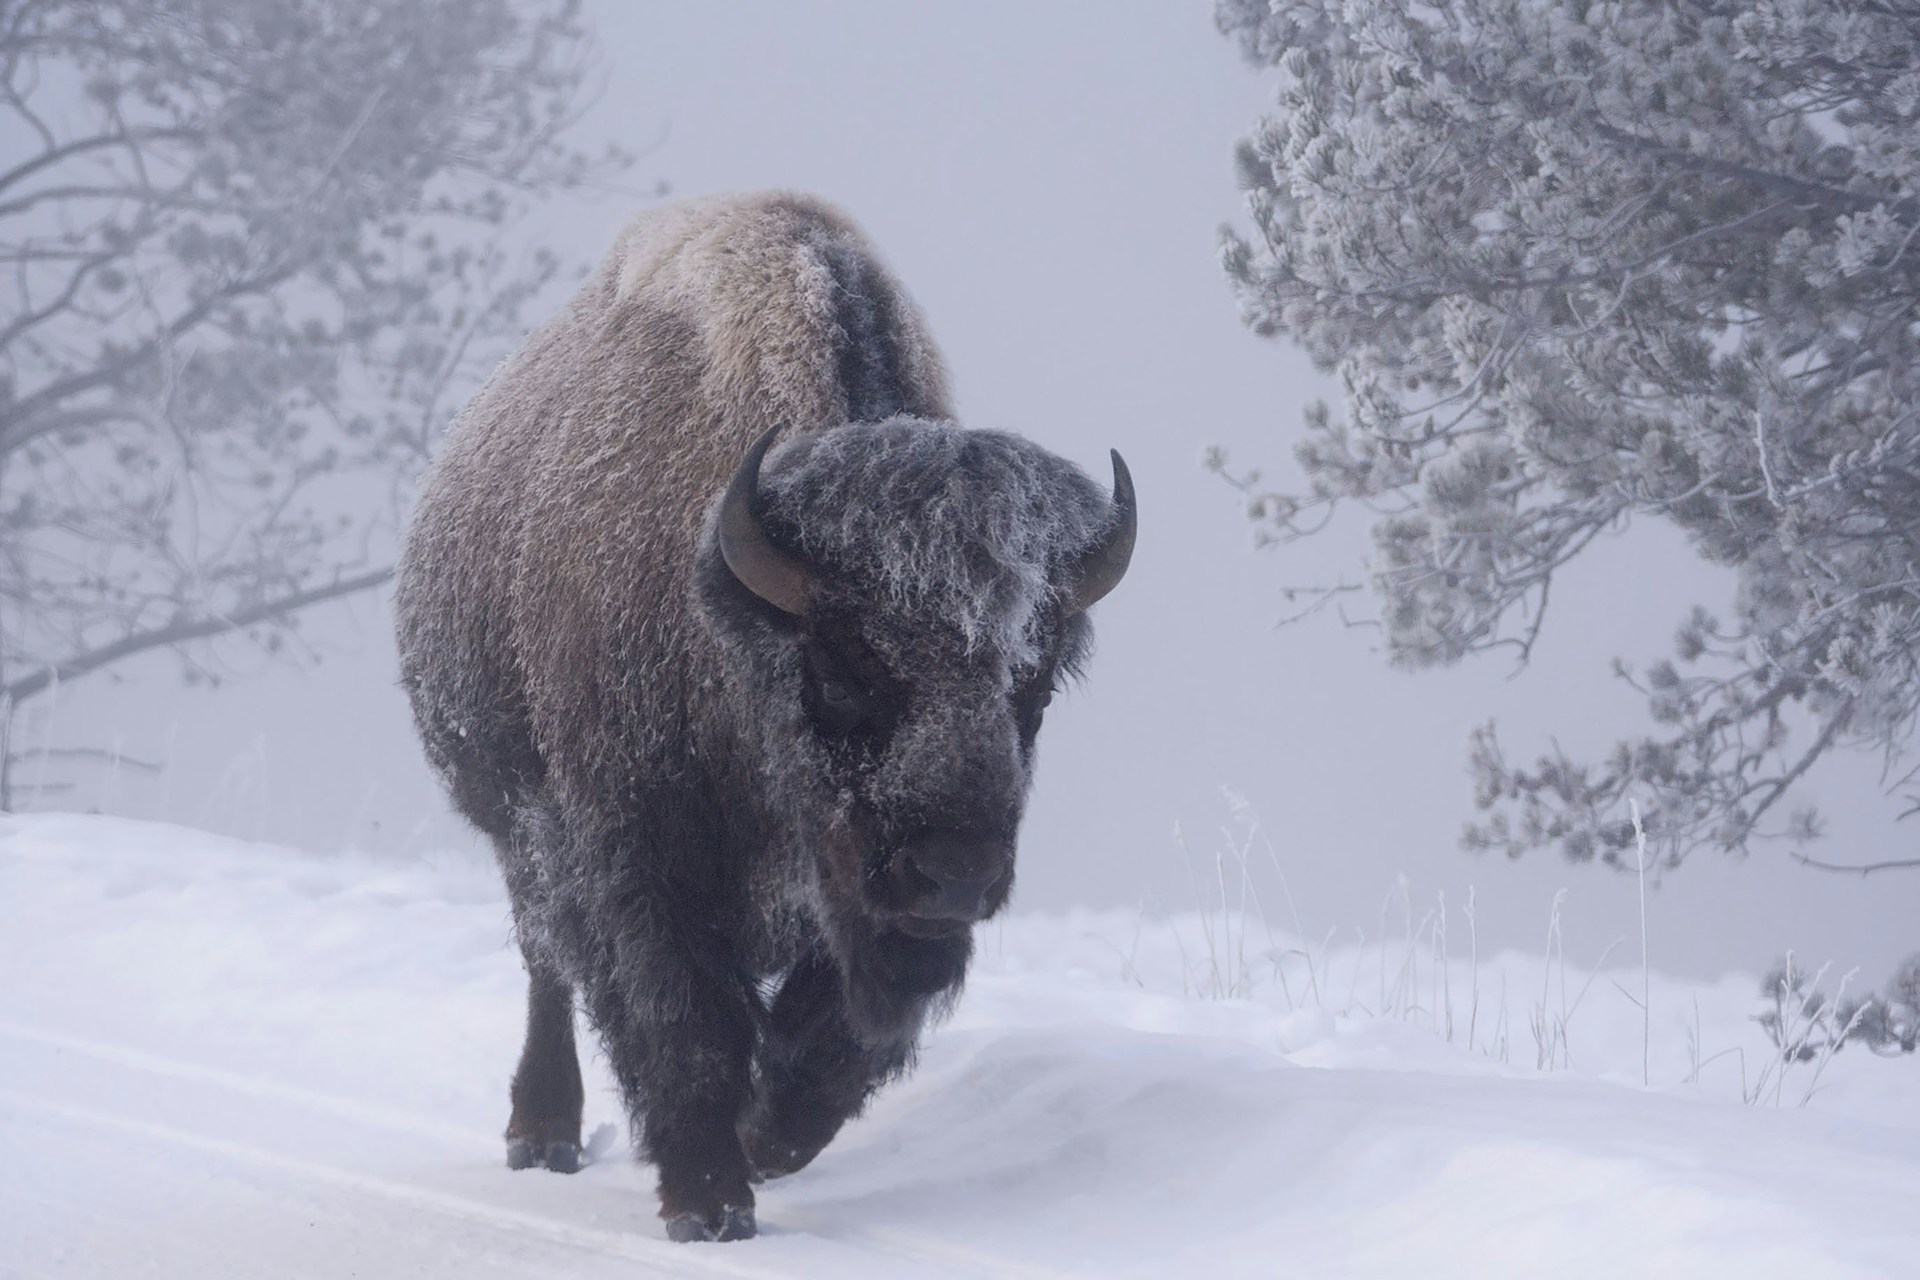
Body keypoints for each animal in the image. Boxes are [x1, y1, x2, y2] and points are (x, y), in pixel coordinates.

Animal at [394, 191, 1134, 1242]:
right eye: (843, 665)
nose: (954, 873)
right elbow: (684, 1023)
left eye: (1032, 681)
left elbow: (833, 1042)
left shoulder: (857, 906)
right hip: (513, 825)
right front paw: (709, 1202)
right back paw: (542, 1134)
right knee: (547, 965)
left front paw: (762, 1137)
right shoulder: (642, 861)